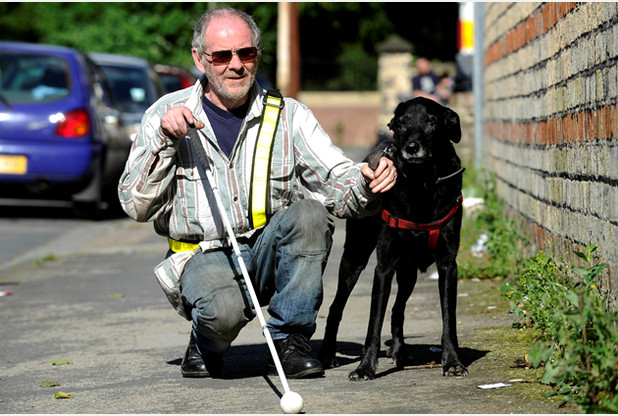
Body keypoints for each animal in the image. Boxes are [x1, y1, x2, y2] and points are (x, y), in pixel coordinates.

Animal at [320, 96, 464, 380]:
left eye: (431, 121)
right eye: (401, 124)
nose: (411, 147)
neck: (422, 184)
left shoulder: (447, 265)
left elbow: (448, 318)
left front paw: (452, 360)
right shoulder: (384, 267)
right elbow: (373, 323)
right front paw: (365, 366)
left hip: (408, 272)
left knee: (398, 309)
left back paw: (399, 350)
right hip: (355, 258)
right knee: (335, 308)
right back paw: (328, 354)